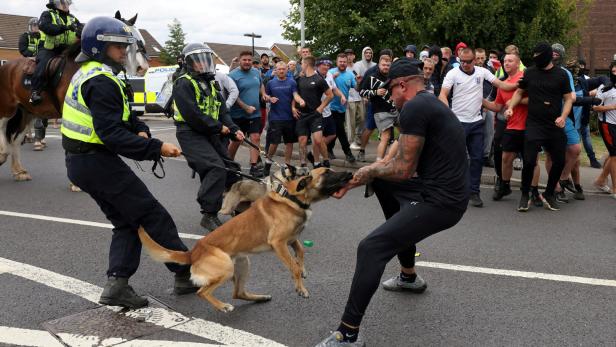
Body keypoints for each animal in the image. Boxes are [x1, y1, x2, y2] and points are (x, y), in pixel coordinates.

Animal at [0, 10, 149, 181]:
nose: (143, 68)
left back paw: (19, 171)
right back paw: (3, 154)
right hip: (7, 108)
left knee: (16, 140)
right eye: (128, 40)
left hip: (27, 112)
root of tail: (6, 66)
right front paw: (76, 182)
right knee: (3, 128)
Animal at [138, 167, 352, 314]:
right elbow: (293, 267)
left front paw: (304, 269)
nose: (350, 173)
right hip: (226, 268)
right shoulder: (279, 243)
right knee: (203, 292)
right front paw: (301, 288)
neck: (292, 197)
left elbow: (301, 252)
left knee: (238, 292)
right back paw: (223, 306)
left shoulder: (292, 240)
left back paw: (260, 298)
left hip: (242, 263)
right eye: (327, 172)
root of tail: (193, 252)